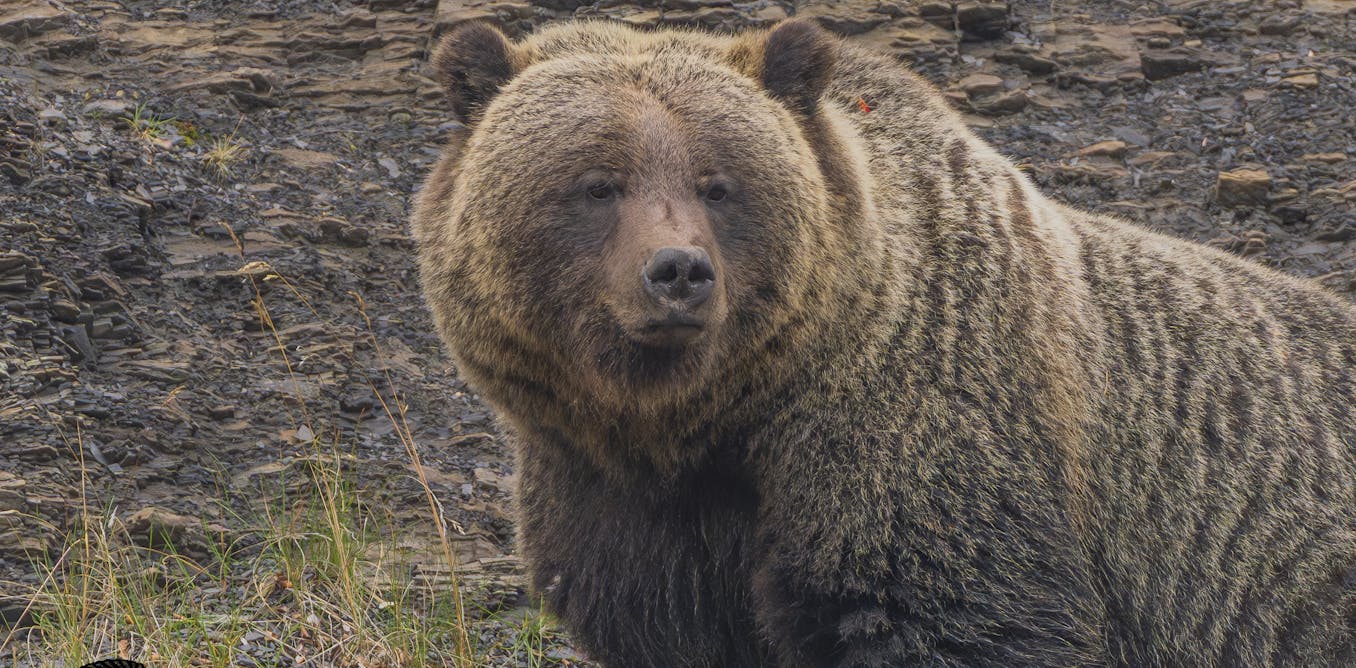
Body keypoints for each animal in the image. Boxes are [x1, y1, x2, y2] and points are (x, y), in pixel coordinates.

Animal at [411, 18, 1355, 667]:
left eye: (718, 184)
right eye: (598, 183)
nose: (677, 272)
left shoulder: (915, 443)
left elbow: (941, 614)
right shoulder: (614, 503)